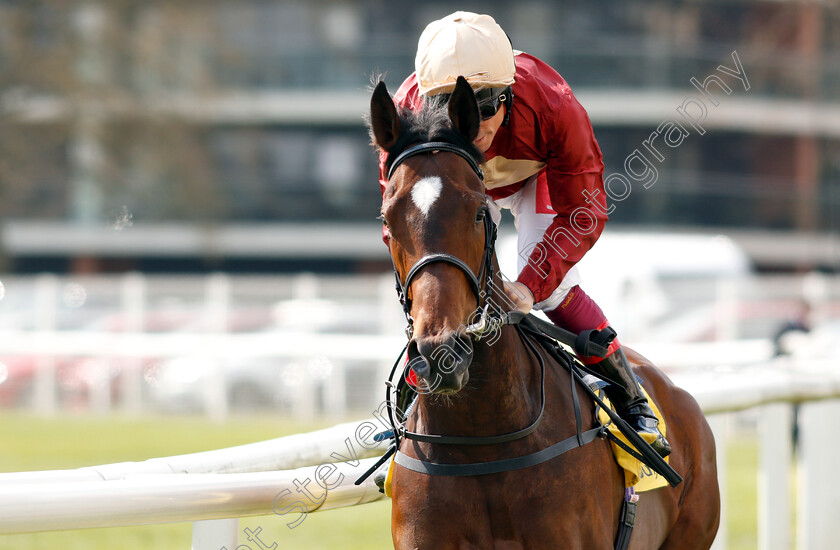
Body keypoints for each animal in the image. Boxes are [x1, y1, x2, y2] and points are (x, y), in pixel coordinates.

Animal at [370, 75, 720, 548]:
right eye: (388, 221)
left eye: (477, 213)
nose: (441, 356)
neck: (483, 439)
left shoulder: (563, 124)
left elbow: (583, 215)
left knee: (563, 292)